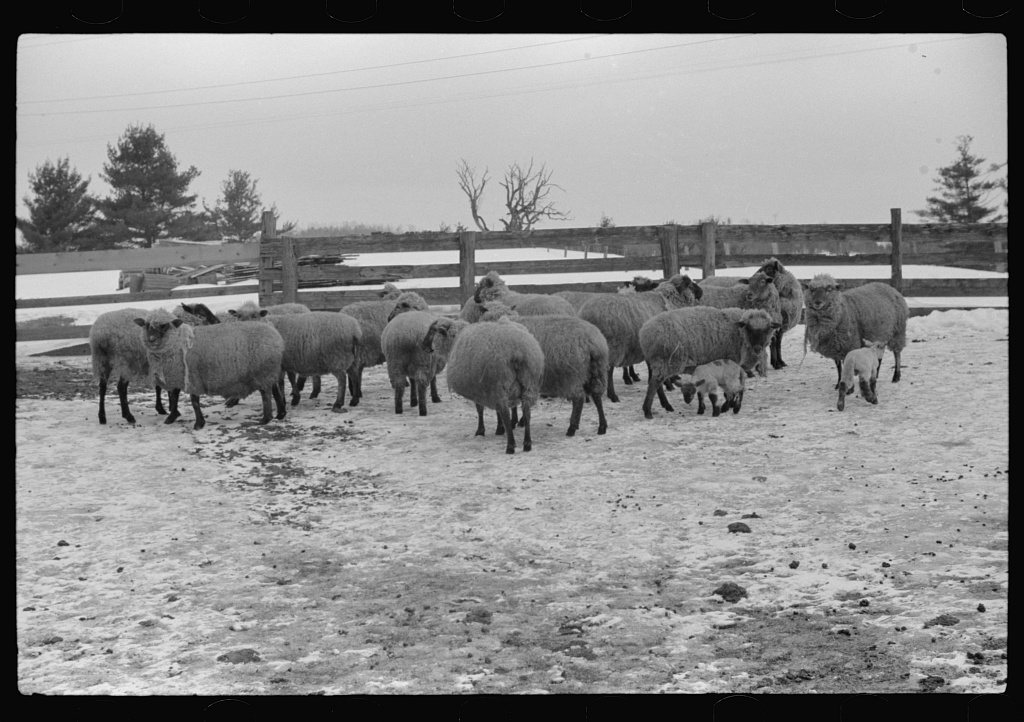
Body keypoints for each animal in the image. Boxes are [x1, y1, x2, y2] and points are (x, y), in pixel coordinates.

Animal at [133, 308, 287, 429]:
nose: (151, 339)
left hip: (263, 371)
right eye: (146, 325)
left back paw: (266, 419)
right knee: (275, 389)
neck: (178, 343)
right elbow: (174, 396)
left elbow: (194, 401)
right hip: (269, 371)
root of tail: (276, 336)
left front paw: (199, 423)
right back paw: (280, 413)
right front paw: (172, 417)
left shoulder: (193, 377)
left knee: (265, 394)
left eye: (164, 326)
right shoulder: (179, 375)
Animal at [424, 315, 544, 454]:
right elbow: (496, 411)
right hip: (528, 383)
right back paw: (527, 443)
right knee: (526, 412)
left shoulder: (479, 388)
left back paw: (510, 445)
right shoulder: (487, 387)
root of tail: (518, 353)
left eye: (434, 332)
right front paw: (499, 429)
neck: (455, 339)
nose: (425, 347)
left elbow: (480, 410)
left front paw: (481, 431)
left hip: (500, 383)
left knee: (505, 413)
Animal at [480, 302, 609, 437]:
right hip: (596, 371)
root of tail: (592, 343)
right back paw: (602, 426)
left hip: (572, 376)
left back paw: (572, 428)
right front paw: (516, 421)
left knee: (579, 399)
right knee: (596, 396)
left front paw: (502, 427)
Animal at [576, 274, 704, 404]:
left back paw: (587, 397)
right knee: (609, 371)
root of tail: (585, 315)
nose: (701, 292)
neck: (668, 301)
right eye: (690, 285)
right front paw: (668, 385)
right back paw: (613, 395)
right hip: (612, 347)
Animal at [638, 306, 780, 419]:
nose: (758, 348)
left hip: (659, 362)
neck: (740, 335)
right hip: (666, 361)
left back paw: (666, 406)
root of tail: (644, 332)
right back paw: (648, 411)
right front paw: (727, 406)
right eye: (749, 329)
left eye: (767, 329)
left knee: (656, 383)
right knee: (654, 384)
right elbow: (728, 389)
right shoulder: (730, 363)